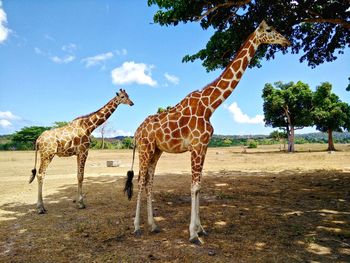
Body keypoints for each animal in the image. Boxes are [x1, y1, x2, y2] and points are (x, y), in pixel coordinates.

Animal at [124, 20, 292, 245]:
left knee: (150, 181)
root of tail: (136, 131)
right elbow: (194, 187)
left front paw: (201, 229)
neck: (210, 105)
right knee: (141, 182)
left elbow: (200, 187)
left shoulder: (204, 147)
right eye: (269, 30)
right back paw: (137, 228)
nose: (287, 40)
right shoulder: (196, 146)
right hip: (145, 148)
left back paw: (154, 225)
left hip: (156, 151)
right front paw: (193, 234)